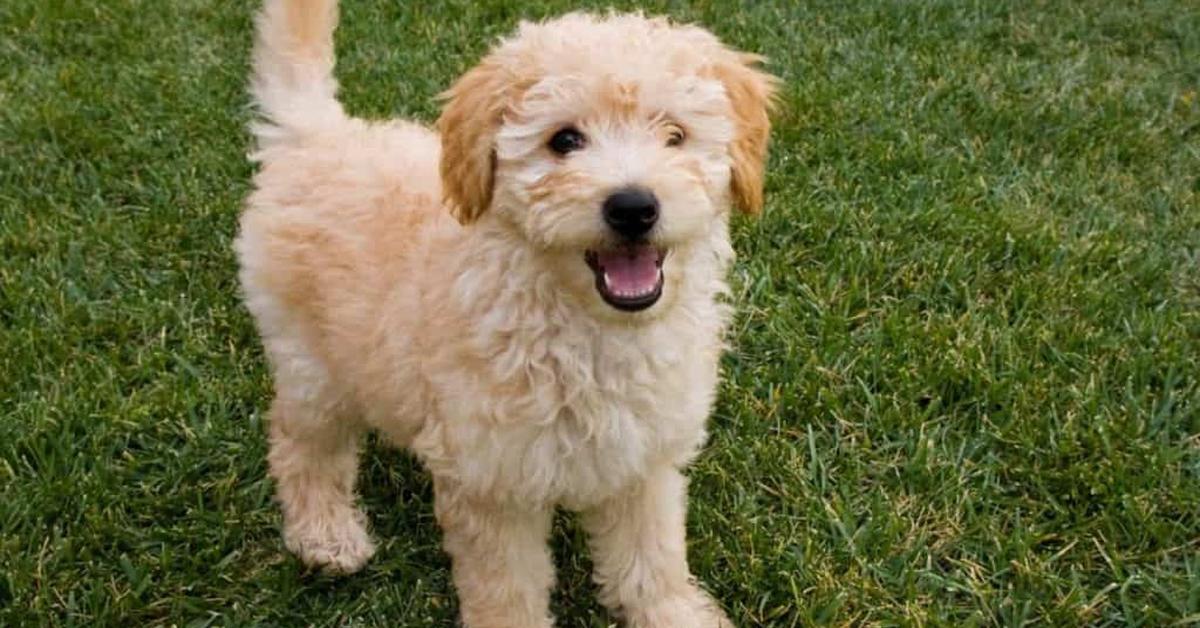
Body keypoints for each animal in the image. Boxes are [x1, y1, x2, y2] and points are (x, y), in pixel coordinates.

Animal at [235, 2, 777, 624]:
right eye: (564, 140)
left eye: (674, 135)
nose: (634, 206)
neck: (586, 328)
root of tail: (316, 134)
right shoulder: (492, 483)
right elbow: (507, 585)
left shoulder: (643, 457)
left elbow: (653, 556)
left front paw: (672, 612)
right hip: (312, 363)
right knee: (300, 444)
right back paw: (324, 534)